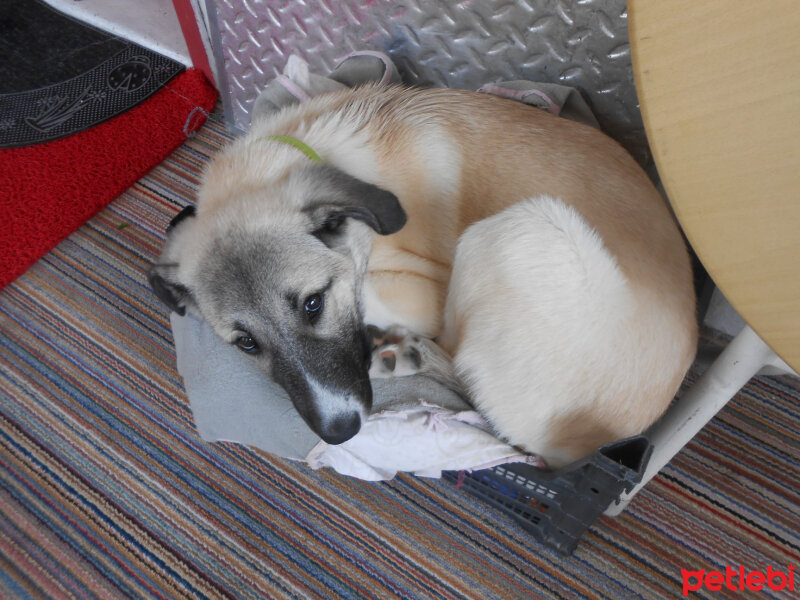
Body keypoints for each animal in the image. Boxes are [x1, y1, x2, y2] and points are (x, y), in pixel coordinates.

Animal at [147, 83, 696, 468]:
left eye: (313, 303)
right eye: (246, 344)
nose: (340, 431)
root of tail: (603, 439)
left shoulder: (423, 288)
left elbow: (365, 286)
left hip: (520, 229)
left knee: (463, 370)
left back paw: (400, 357)